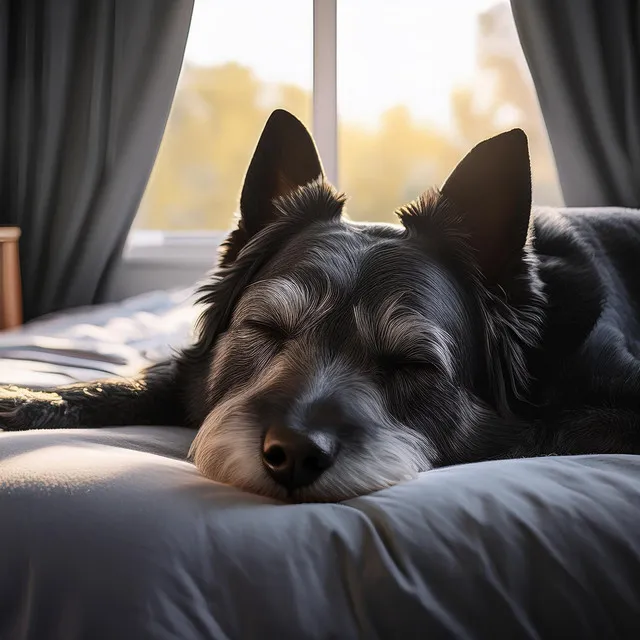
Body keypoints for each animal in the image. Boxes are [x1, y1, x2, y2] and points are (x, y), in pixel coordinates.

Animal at [1, 107, 640, 502]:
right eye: (265, 329)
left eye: (411, 365)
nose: (291, 455)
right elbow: (131, 382)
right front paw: (27, 397)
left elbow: (552, 429)